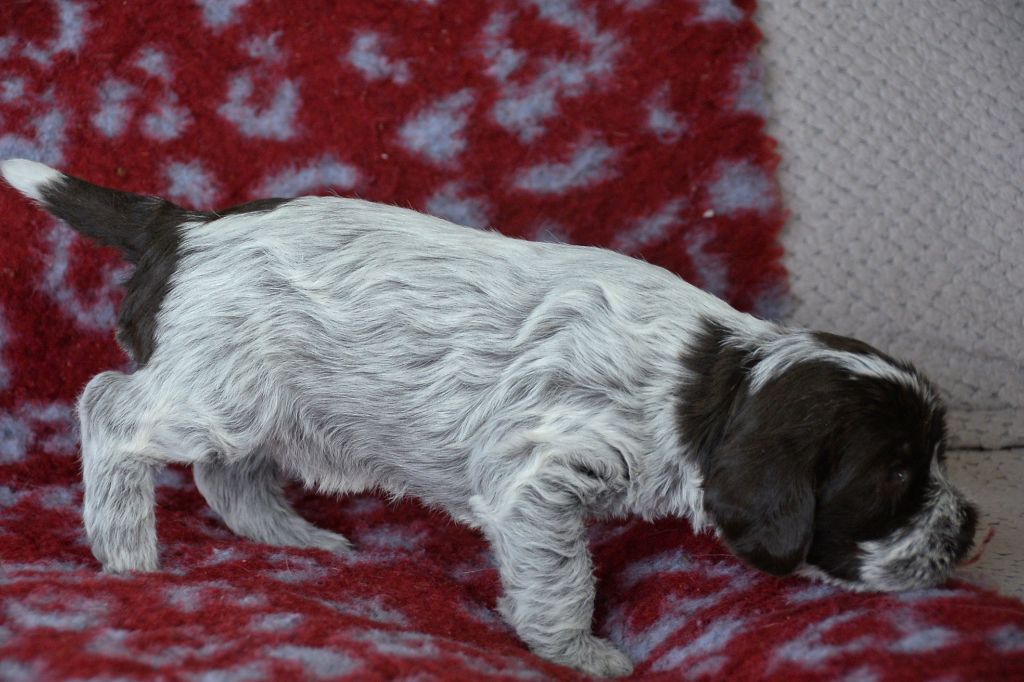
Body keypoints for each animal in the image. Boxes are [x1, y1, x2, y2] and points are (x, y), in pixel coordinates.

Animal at [2, 159, 978, 677]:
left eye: (938, 458)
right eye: (896, 475)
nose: (970, 528)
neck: (714, 384)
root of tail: (187, 225)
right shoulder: (539, 475)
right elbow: (561, 580)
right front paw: (579, 649)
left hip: (258, 397)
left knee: (225, 470)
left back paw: (295, 539)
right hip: (216, 389)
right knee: (109, 408)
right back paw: (126, 550)